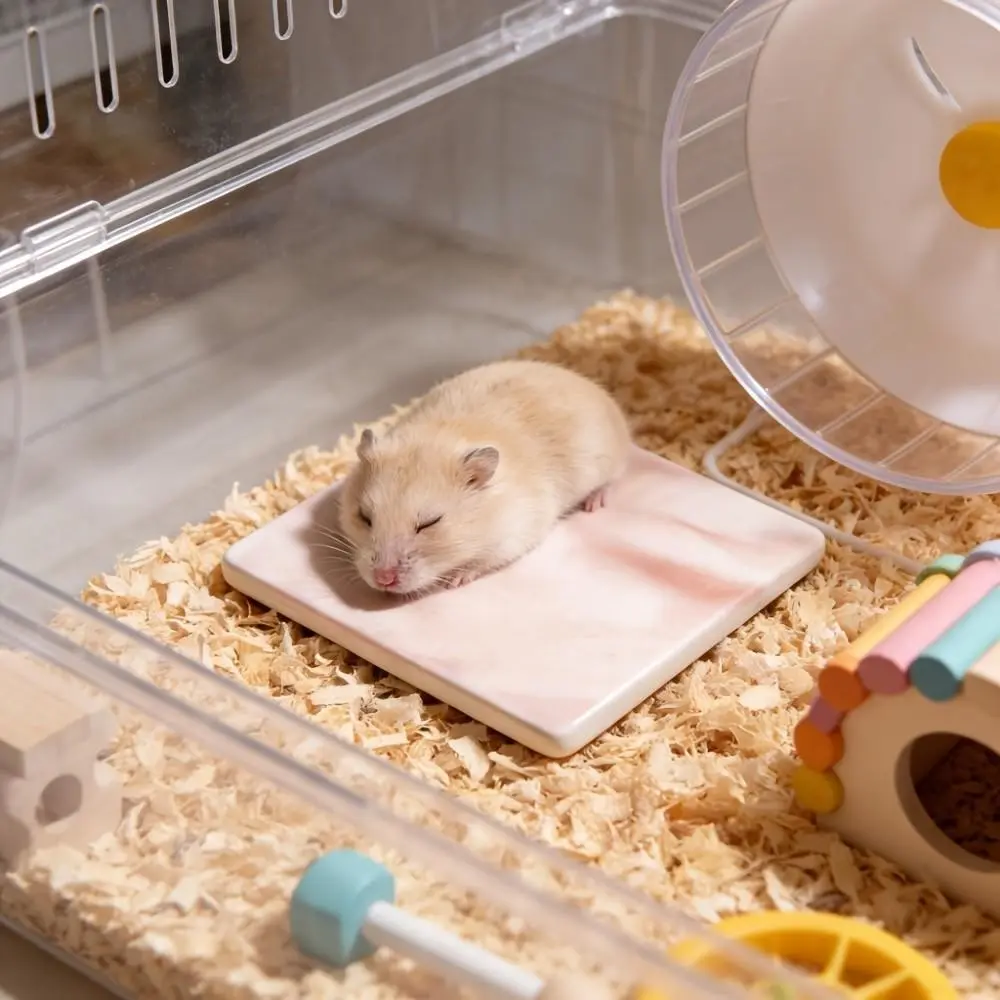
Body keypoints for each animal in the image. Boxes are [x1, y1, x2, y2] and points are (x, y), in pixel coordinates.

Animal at [337, 358, 631, 596]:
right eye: (364, 517)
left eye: (430, 523)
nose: (383, 580)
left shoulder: (514, 535)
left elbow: (482, 562)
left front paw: (455, 580)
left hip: (609, 461)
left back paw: (594, 502)